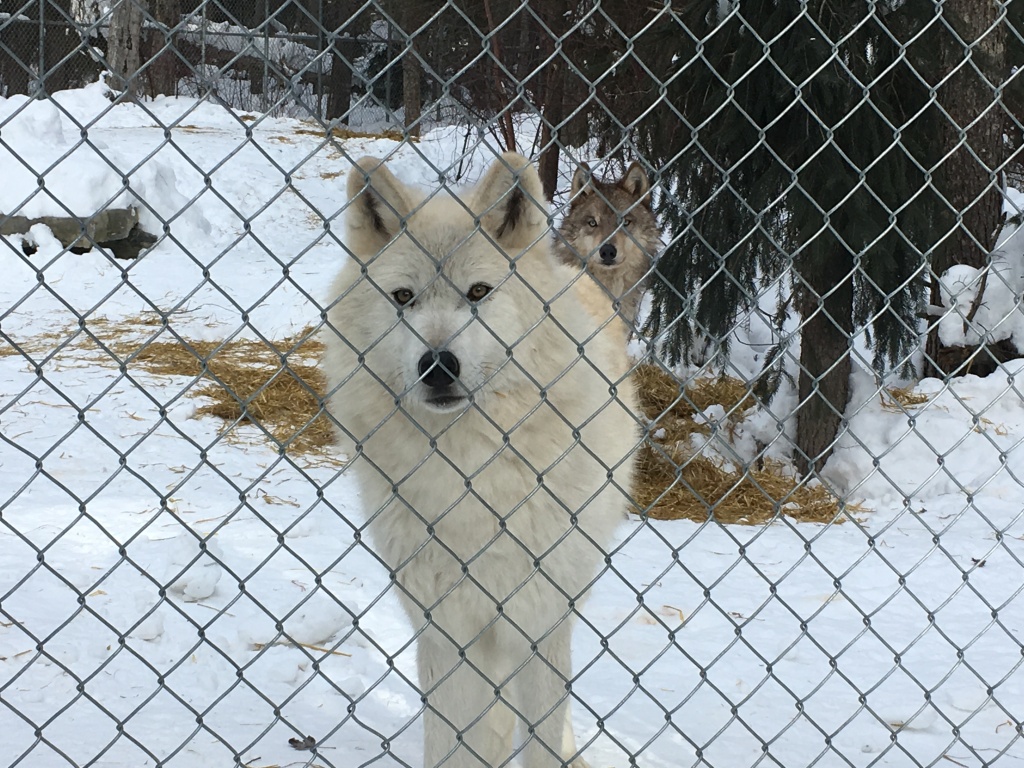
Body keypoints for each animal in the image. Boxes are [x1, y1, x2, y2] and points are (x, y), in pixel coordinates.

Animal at [323, 153, 638, 768]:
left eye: (478, 291)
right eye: (404, 298)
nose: (437, 365)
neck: (469, 471)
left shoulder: (538, 619)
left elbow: (540, 739)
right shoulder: (444, 627)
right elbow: (449, 743)